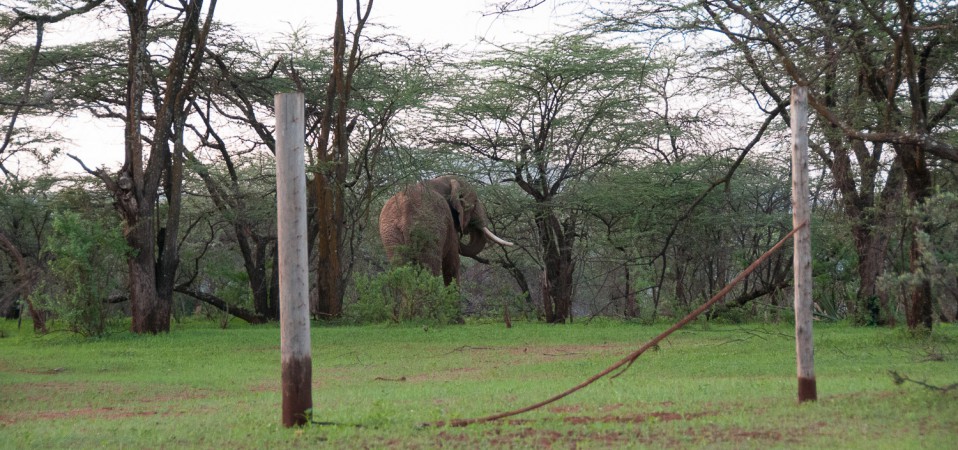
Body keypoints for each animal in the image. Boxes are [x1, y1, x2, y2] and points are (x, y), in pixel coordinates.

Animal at [379, 176, 513, 285]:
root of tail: (405, 213)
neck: (444, 180)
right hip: (428, 230)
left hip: (391, 234)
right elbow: (452, 264)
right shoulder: (449, 223)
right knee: (429, 270)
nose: (465, 230)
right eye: (474, 203)